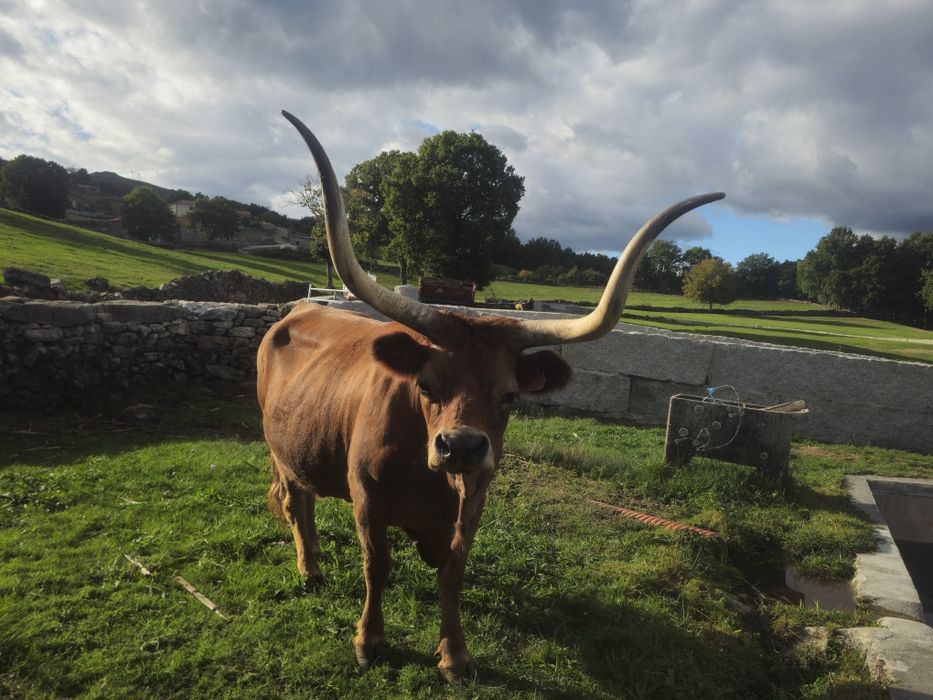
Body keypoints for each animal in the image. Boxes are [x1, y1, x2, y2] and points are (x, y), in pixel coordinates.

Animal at [257, 110, 724, 683]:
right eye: (426, 384)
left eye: (509, 395)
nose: (460, 446)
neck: (428, 477)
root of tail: (300, 308)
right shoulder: (367, 499)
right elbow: (377, 565)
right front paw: (370, 641)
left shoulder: (474, 499)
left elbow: (453, 574)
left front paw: (455, 655)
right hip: (278, 448)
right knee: (293, 501)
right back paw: (310, 568)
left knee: (301, 498)